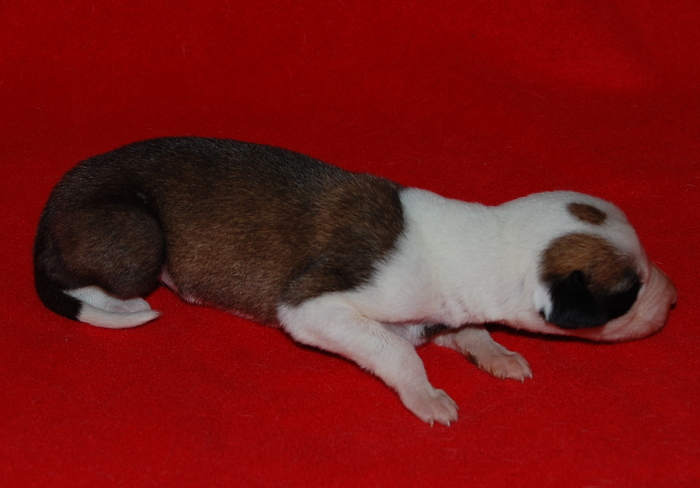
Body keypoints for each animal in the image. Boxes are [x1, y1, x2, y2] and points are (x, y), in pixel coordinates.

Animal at [34, 137, 677, 425]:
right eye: (629, 293)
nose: (674, 301)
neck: (481, 243)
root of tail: (51, 207)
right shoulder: (315, 307)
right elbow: (397, 351)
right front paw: (428, 396)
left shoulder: (444, 310)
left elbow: (468, 329)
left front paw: (496, 353)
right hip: (138, 238)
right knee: (83, 278)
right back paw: (122, 303)